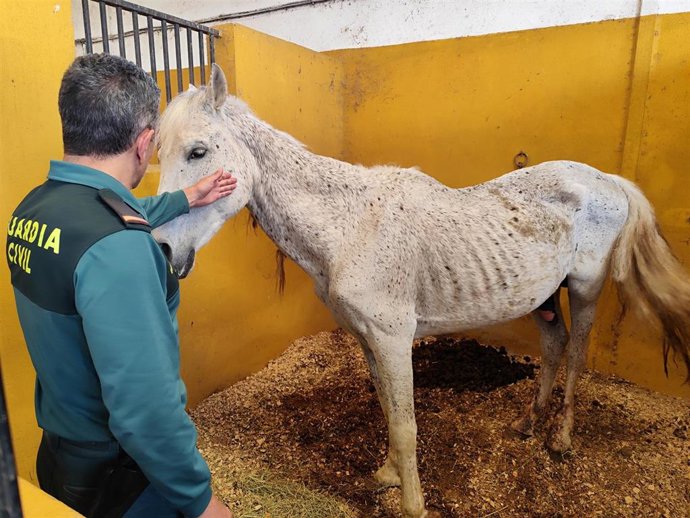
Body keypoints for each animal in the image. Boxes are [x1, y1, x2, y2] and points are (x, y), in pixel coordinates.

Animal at [153, 64, 690, 518]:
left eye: (198, 151)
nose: (162, 247)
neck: (351, 227)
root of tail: (607, 180)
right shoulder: (367, 338)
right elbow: (390, 410)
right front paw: (388, 475)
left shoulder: (394, 339)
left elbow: (407, 423)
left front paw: (413, 504)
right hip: (544, 297)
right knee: (555, 346)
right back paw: (527, 424)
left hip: (583, 288)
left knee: (576, 353)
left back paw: (559, 438)